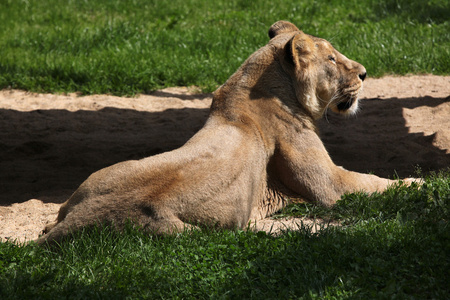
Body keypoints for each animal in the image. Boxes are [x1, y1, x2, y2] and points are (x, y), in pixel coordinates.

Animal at [37, 21, 414, 245]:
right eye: (333, 60)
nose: (364, 73)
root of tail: (84, 220)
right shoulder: (329, 185)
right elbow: (374, 181)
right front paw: (419, 183)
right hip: (198, 235)